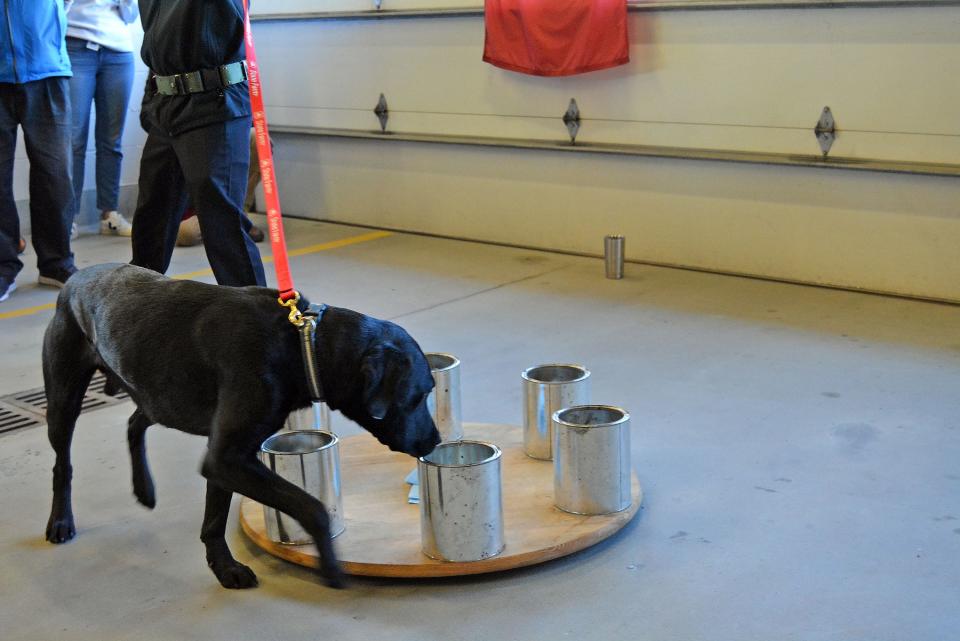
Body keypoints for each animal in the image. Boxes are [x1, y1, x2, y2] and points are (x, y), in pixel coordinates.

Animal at [41, 262, 438, 588]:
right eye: (419, 394)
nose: (434, 442)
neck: (299, 344)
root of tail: (75, 279)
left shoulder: (224, 460)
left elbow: (214, 520)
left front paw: (223, 567)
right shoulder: (227, 458)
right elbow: (311, 507)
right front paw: (330, 566)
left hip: (159, 397)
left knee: (134, 423)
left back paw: (145, 488)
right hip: (64, 403)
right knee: (63, 465)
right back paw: (61, 521)